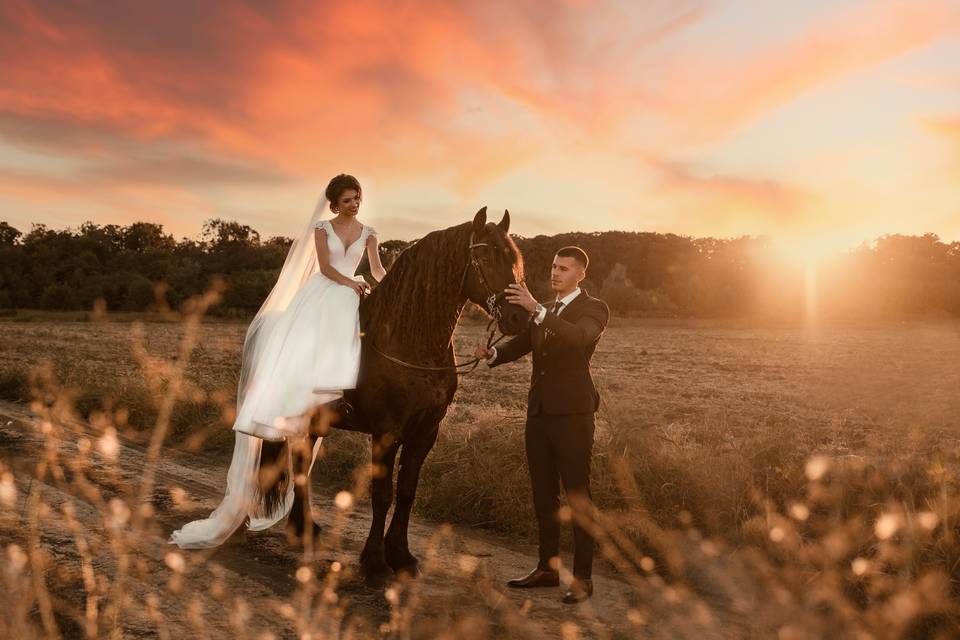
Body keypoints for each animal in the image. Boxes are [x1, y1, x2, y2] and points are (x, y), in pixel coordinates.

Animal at [260, 206, 524, 584]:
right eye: (485, 257)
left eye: (514, 259)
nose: (521, 316)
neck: (408, 342)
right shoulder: (386, 432)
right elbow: (382, 495)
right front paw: (375, 561)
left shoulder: (425, 432)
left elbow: (407, 493)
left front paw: (401, 555)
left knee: (301, 463)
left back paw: (305, 527)